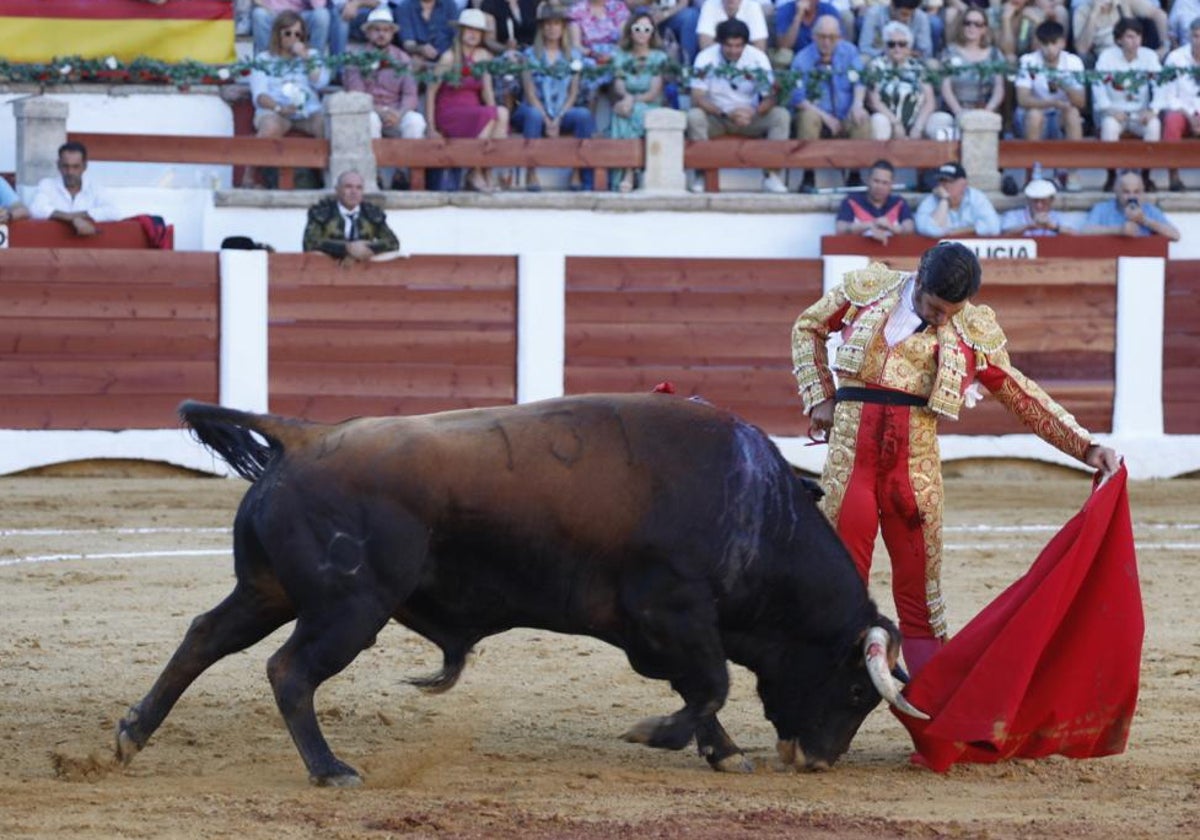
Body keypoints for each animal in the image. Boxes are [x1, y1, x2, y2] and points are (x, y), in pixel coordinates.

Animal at [117, 393, 921, 787]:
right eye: (858, 690)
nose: (818, 762)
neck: (755, 512)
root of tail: (306, 436)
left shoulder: (671, 629)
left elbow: (705, 689)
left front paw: (722, 754)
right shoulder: (673, 612)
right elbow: (712, 685)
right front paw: (659, 735)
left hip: (268, 590)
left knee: (204, 636)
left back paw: (132, 733)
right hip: (348, 608)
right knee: (288, 670)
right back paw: (331, 769)